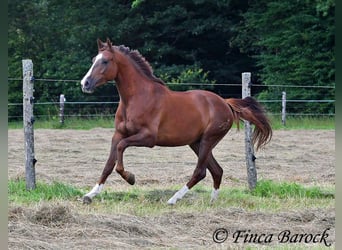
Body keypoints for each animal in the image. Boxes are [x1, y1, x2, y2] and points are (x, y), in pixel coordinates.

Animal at [81, 38, 272, 204]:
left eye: (106, 61)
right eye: (93, 60)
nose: (85, 83)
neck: (137, 98)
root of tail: (225, 103)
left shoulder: (148, 138)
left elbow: (120, 152)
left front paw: (131, 178)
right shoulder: (118, 134)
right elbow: (108, 164)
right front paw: (89, 195)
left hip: (208, 140)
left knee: (201, 171)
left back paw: (173, 199)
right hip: (197, 143)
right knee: (216, 170)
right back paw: (211, 202)